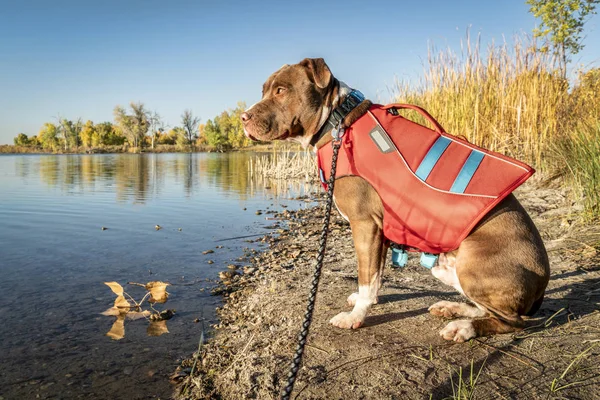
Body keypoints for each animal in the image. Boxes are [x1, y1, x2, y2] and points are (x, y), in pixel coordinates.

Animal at [241, 57, 552, 342]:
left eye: (281, 90)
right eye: (264, 91)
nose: (243, 117)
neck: (337, 120)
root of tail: (544, 280)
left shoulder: (365, 224)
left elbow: (366, 275)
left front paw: (356, 317)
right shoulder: (378, 229)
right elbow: (375, 274)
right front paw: (365, 301)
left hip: (473, 267)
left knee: (512, 321)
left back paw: (464, 327)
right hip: (445, 267)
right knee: (487, 308)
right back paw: (453, 308)